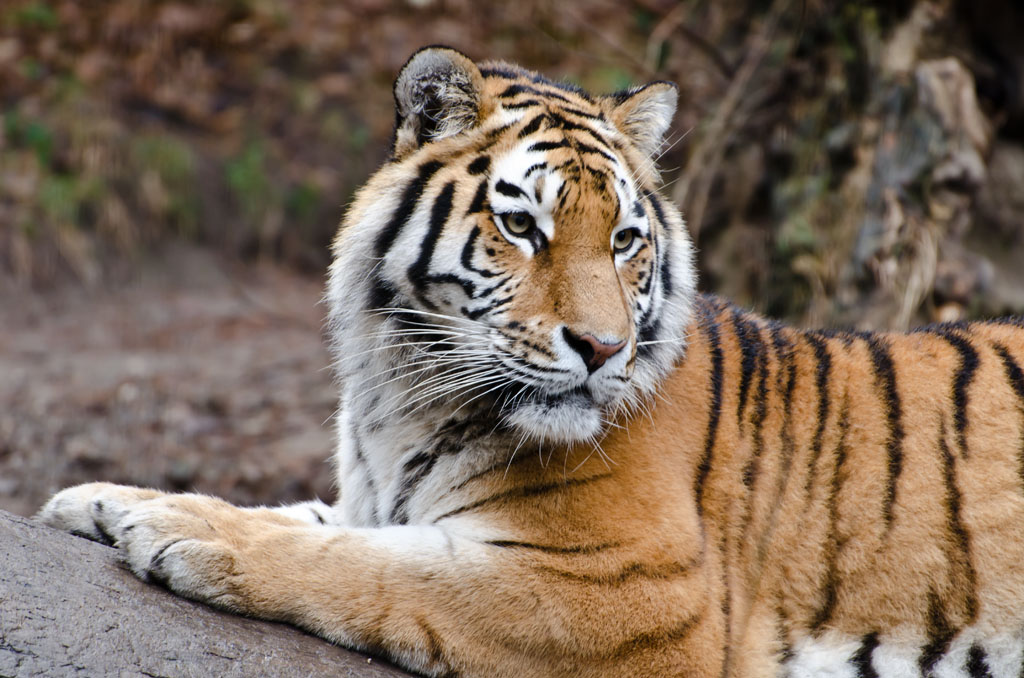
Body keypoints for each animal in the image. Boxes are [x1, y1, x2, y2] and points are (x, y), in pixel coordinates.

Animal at [37, 46, 1024, 678]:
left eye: (625, 239)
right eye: (522, 226)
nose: (603, 348)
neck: (404, 394)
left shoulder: (637, 593)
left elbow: (370, 566)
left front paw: (182, 535)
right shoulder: (377, 498)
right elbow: (305, 518)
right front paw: (104, 499)